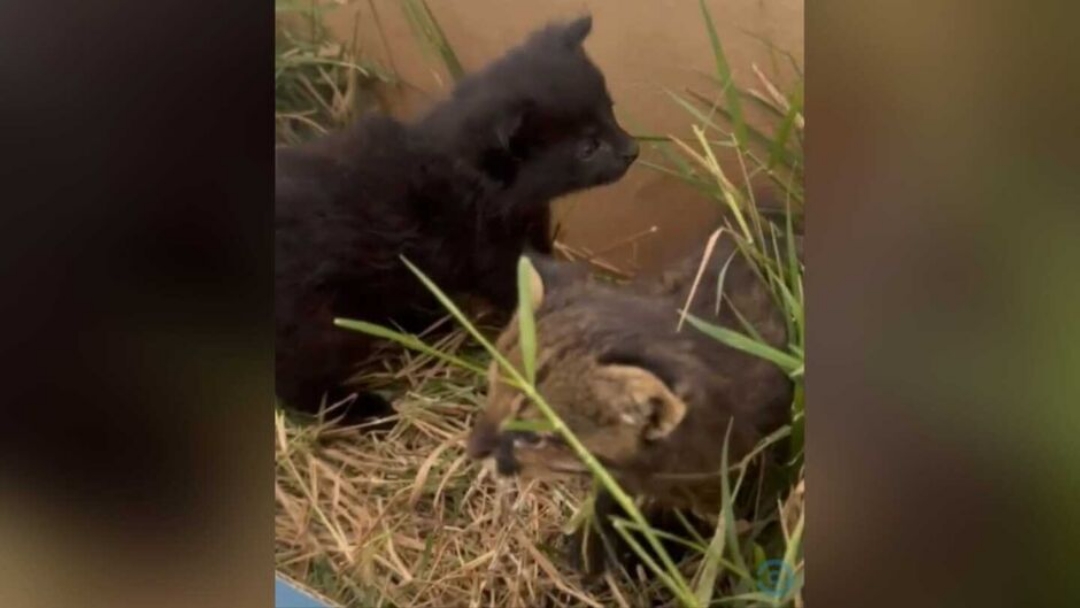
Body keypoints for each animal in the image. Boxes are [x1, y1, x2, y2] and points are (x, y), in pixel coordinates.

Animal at [274, 15, 639, 423]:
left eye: (611, 111)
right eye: (588, 148)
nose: (632, 149)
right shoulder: (488, 251)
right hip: (317, 325)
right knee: (300, 382)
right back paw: (361, 407)